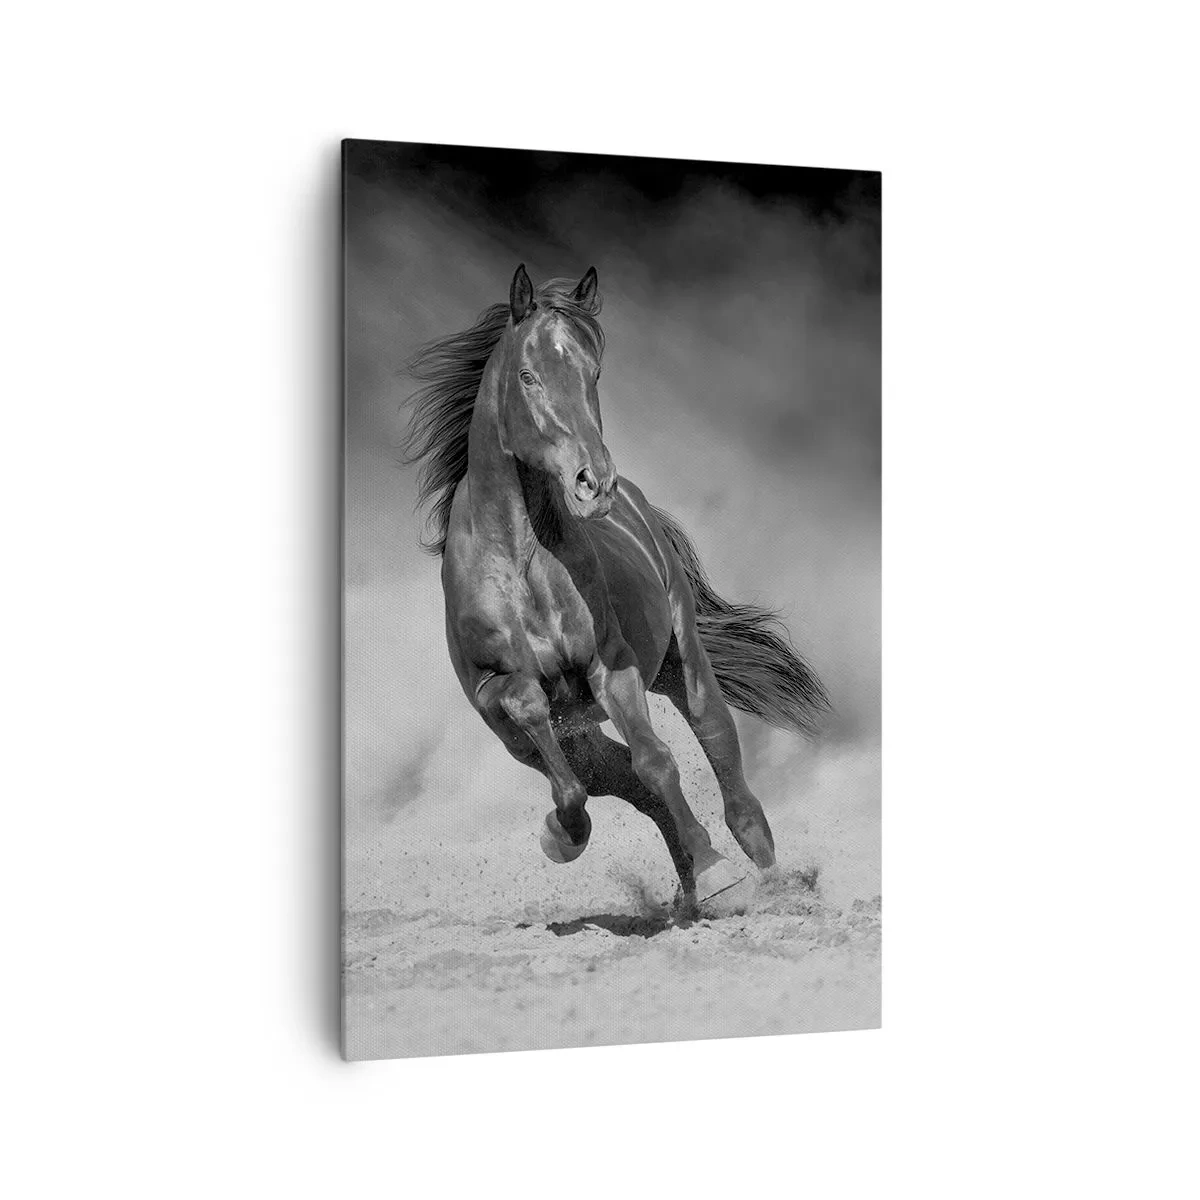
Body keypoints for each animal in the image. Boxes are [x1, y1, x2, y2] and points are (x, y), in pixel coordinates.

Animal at [403, 264, 829, 905]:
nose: (593, 482)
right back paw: (680, 886)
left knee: (715, 741)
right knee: (619, 781)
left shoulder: (611, 665)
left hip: (682, 660)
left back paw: (763, 869)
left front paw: (718, 870)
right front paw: (561, 835)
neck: (522, 563)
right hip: (561, 736)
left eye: (593, 372)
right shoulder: (499, 699)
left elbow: (657, 761)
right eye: (528, 376)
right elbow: (565, 755)